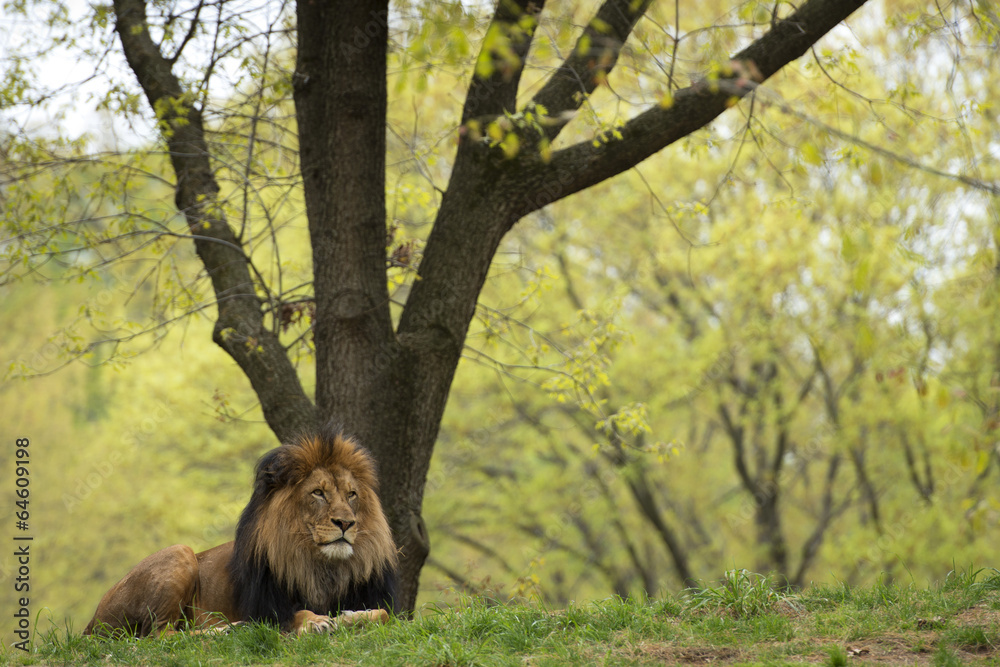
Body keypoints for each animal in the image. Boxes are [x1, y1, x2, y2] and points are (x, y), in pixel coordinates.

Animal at [83, 428, 398, 637]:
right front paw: (317, 622)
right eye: (318, 493)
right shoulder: (266, 611)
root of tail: (91, 622)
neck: (322, 566)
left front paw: (351, 616)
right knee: (161, 635)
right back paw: (227, 630)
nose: (346, 523)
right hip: (179, 551)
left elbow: (383, 615)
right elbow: (298, 613)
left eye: (351, 494)